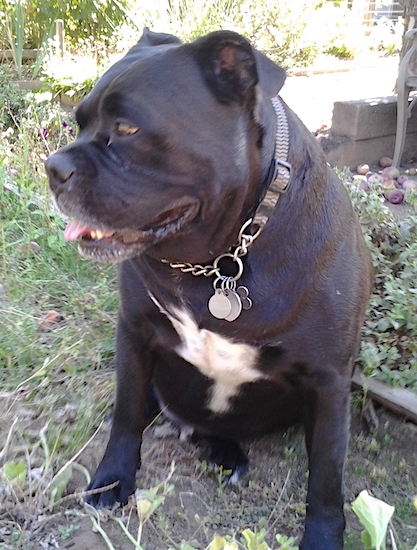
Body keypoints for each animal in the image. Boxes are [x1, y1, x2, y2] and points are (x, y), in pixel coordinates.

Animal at [45, 28, 370, 548]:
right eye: (78, 123)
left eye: (127, 128)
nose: (53, 167)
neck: (220, 259)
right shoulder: (135, 334)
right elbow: (125, 416)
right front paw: (111, 482)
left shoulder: (329, 382)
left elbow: (326, 477)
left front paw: (322, 537)